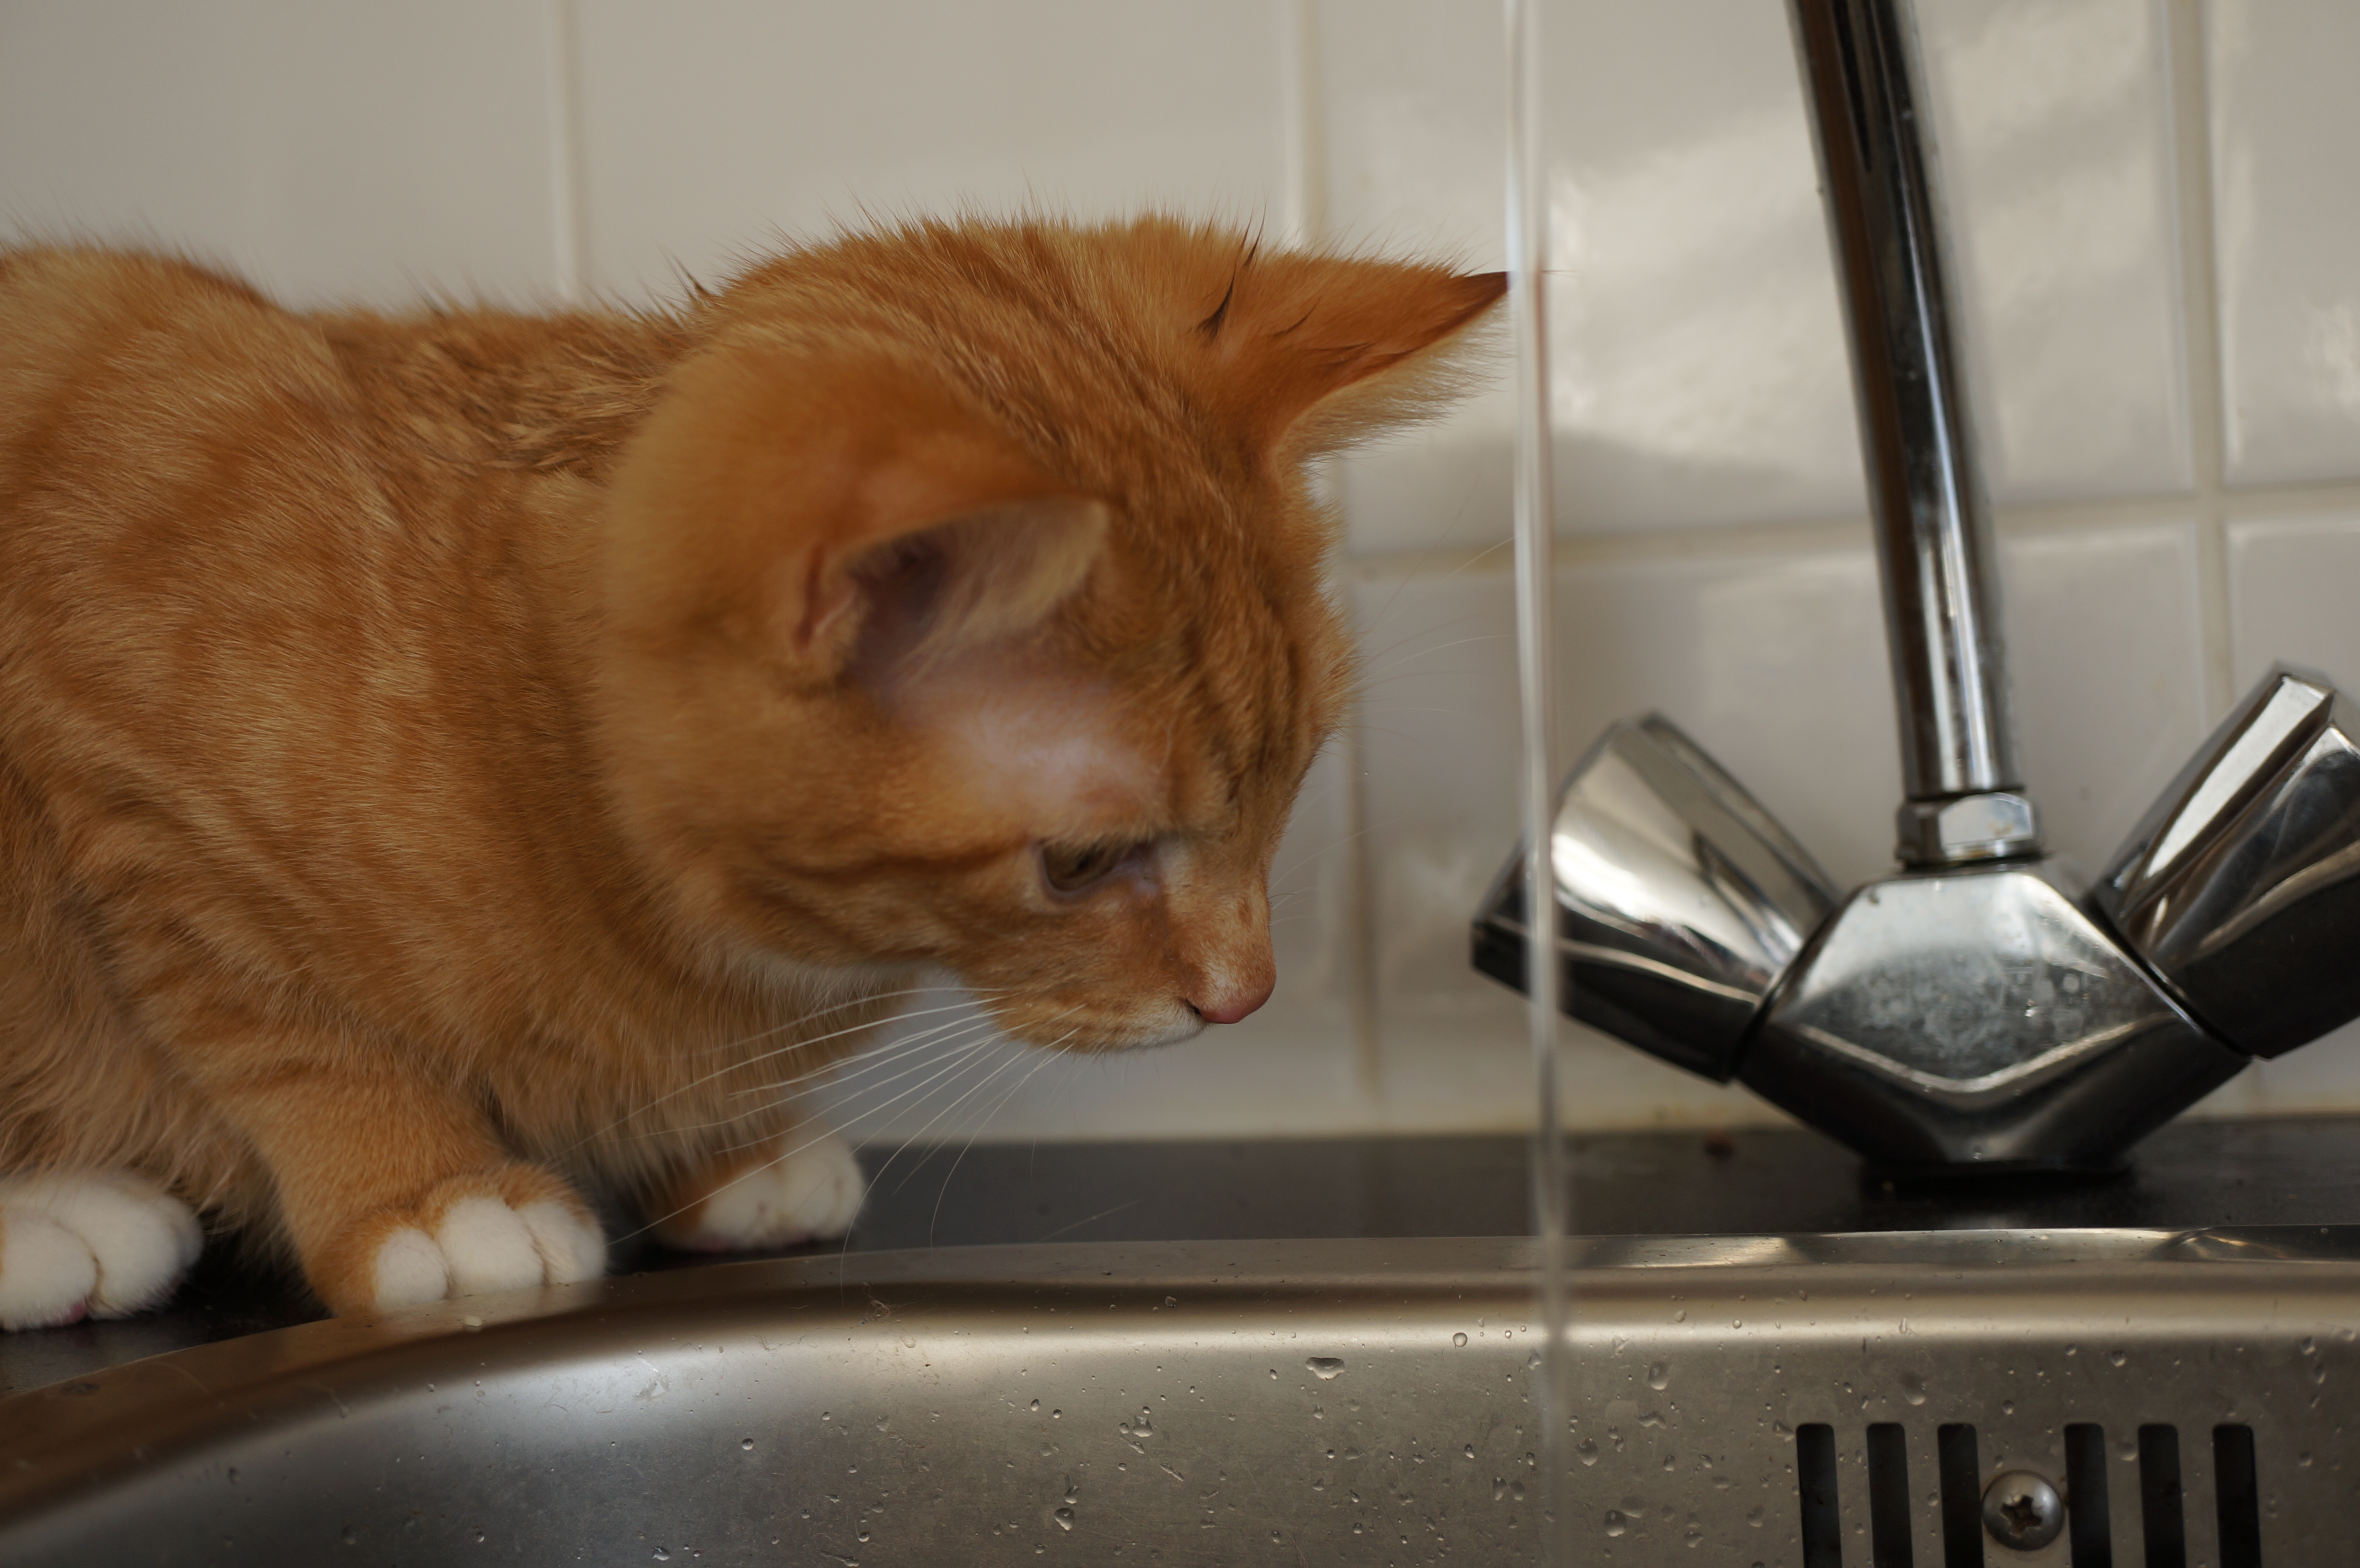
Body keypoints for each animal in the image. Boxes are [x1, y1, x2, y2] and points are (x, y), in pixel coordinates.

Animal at [0, 217, 1491, 1322]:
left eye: (1288, 791)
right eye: (1082, 862)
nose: (1250, 997)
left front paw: (728, 1152)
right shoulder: (122, 796)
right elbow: (292, 1028)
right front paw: (428, 1190)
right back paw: (58, 1218)